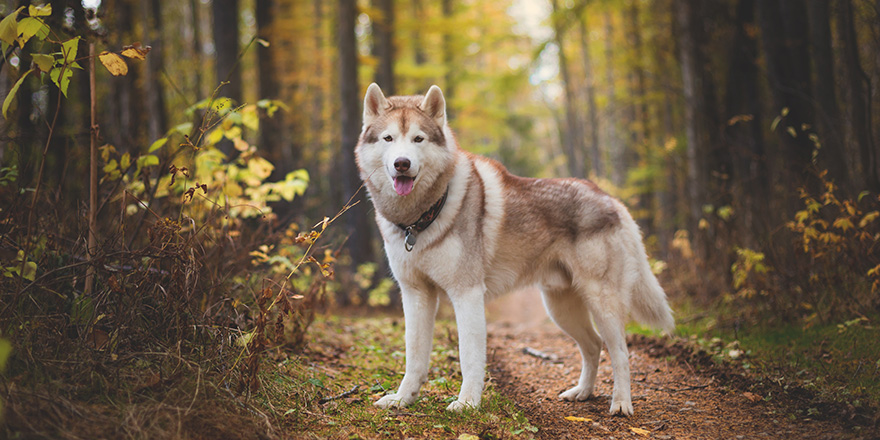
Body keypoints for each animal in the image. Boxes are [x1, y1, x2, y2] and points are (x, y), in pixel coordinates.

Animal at [356, 83, 672, 416]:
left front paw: (467, 403)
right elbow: (414, 355)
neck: (420, 219)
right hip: (561, 308)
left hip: (602, 302)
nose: (402, 163)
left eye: (418, 138)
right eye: (388, 138)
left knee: (620, 352)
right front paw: (402, 399)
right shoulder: (416, 294)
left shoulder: (467, 294)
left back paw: (621, 403)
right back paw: (582, 392)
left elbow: (469, 357)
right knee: (593, 345)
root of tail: (610, 198)